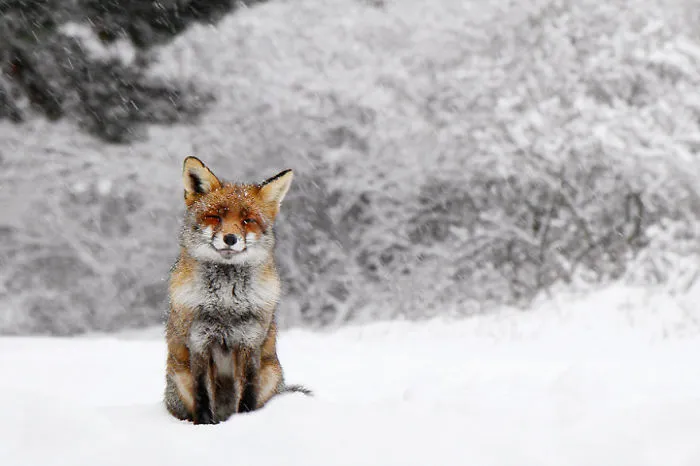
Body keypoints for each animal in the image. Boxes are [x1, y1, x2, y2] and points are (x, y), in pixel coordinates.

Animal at [164, 156, 309, 424]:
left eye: (247, 220)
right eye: (215, 217)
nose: (230, 238)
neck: (225, 302)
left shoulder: (249, 342)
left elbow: (248, 394)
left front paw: (245, 423)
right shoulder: (199, 342)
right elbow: (203, 396)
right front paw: (204, 426)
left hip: (270, 373)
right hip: (180, 375)